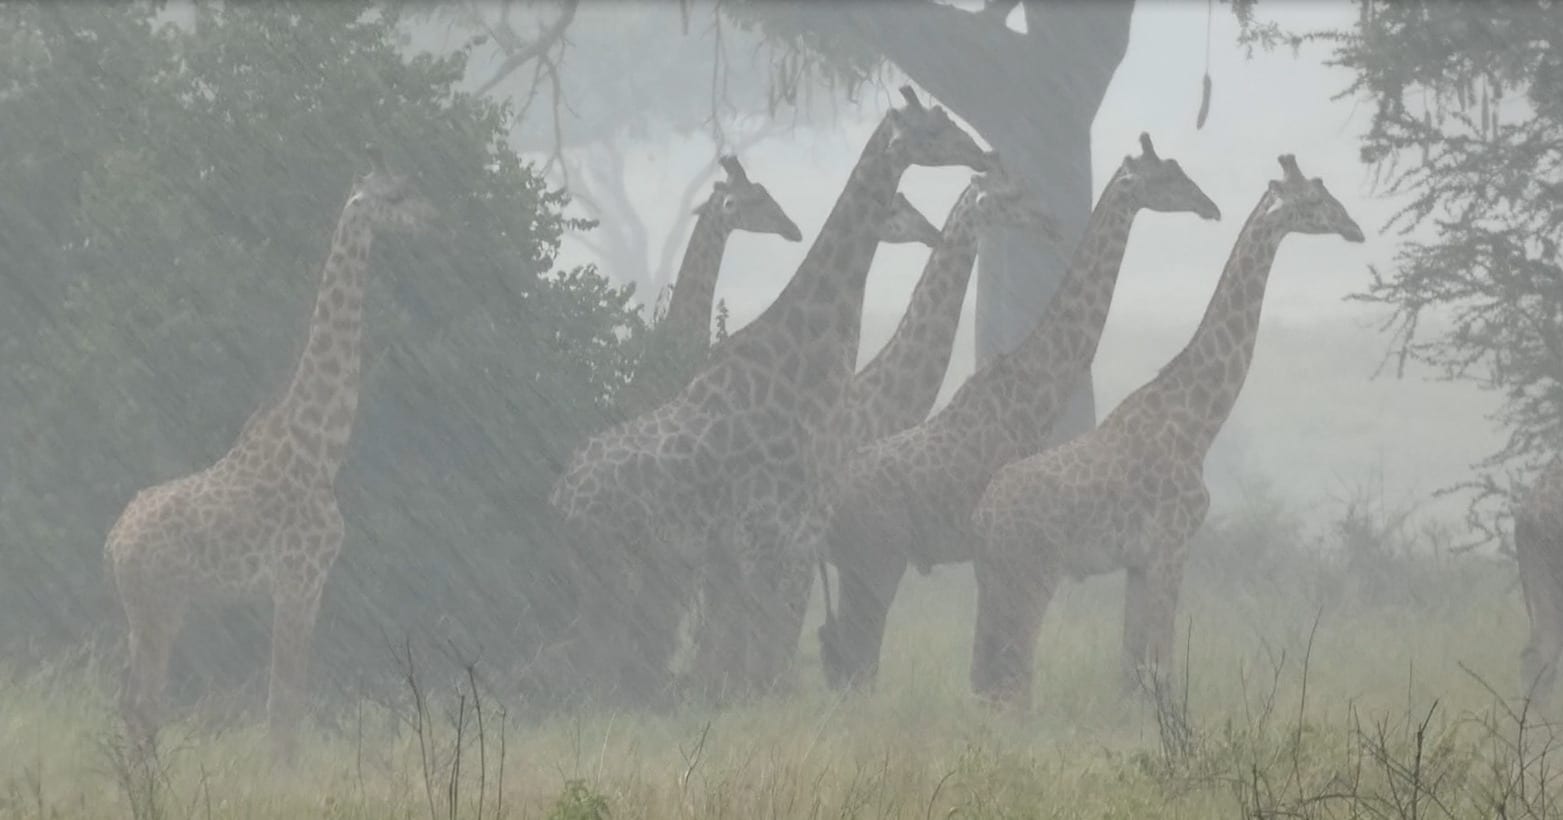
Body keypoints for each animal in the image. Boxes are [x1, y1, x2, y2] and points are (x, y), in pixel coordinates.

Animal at [105, 157, 435, 755]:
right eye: (397, 196)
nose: (433, 218)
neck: (321, 448)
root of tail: (114, 542)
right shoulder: (298, 580)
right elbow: (284, 709)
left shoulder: (306, 587)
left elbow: (287, 706)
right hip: (159, 604)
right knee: (144, 702)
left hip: (147, 609)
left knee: (132, 701)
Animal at [964, 154, 1364, 710]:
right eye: (1314, 200)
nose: (1355, 228)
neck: (1197, 422)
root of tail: (983, 517)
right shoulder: (1172, 546)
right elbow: (1162, 662)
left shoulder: (1139, 561)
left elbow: (1133, 669)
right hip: (1031, 573)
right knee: (1013, 677)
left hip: (994, 579)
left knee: (987, 676)